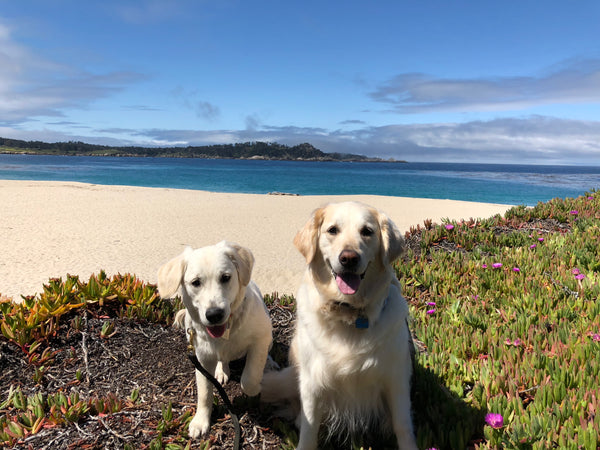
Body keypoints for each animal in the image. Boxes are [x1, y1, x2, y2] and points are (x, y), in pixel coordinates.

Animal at [158, 243, 274, 440]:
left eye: (225, 277)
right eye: (196, 282)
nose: (214, 314)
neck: (226, 331)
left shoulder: (261, 338)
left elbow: (249, 379)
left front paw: (257, 387)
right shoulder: (201, 359)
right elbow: (204, 392)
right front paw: (201, 420)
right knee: (223, 359)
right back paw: (222, 370)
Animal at [262, 203, 418, 450]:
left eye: (367, 231)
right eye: (332, 230)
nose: (349, 258)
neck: (348, 313)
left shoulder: (397, 378)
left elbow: (402, 424)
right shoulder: (312, 381)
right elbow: (309, 428)